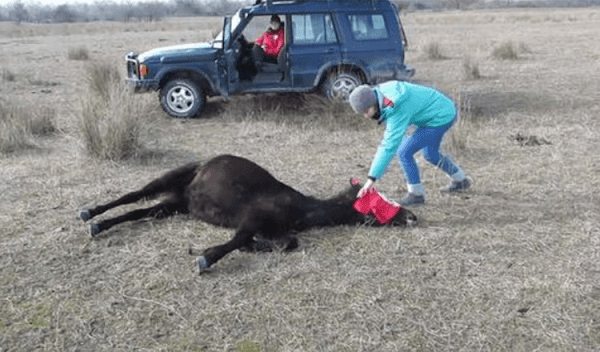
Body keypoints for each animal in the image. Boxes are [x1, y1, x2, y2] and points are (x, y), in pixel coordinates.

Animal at [79, 155, 418, 272]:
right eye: (376, 199)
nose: (411, 216)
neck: (300, 208)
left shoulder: (274, 228)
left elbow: (287, 242)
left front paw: (259, 246)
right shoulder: (252, 218)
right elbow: (239, 239)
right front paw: (205, 257)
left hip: (176, 203)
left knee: (141, 211)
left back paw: (100, 225)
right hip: (170, 180)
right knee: (133, 195)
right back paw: (89, 214)